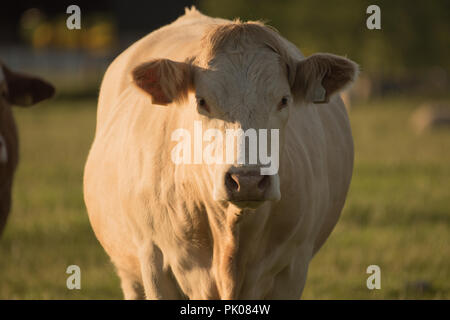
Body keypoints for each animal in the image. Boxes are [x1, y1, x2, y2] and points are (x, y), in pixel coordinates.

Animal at [84, 6, 356, 300]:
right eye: (202, 101)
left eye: (284, 100)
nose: (247, 180)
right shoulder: (154, 260)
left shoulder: (294, 264)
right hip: (129, 272)